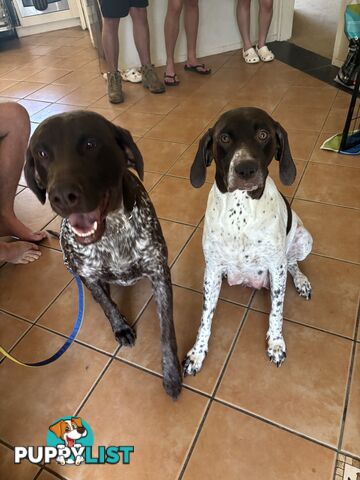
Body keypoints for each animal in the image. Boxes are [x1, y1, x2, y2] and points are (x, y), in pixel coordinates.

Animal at [183, 109, 312, 376]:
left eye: (263, 134)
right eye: (224, 138)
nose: (245, 169)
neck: (240, 209)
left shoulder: (276, 267)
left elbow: (277, 310)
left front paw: (276, 343)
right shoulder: (211, 270)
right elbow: (205, 317)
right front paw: (197, 353)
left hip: (304, 240)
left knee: (293, 262)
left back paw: (302, 281)